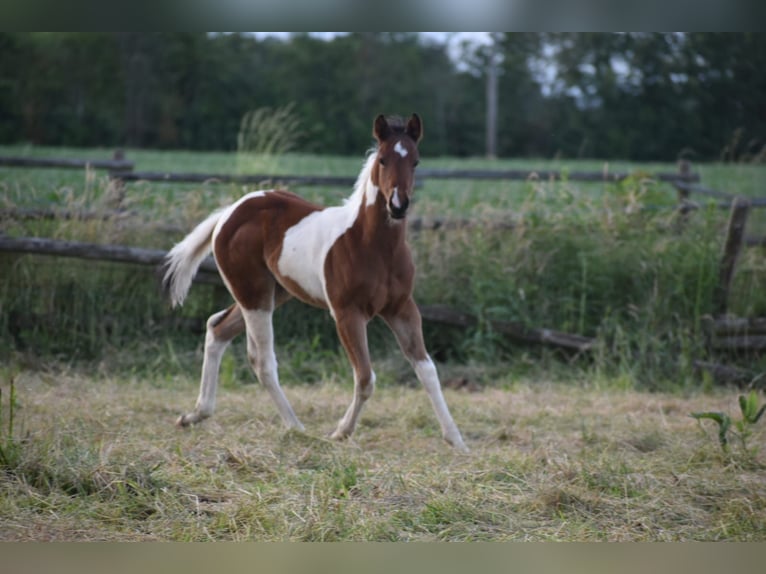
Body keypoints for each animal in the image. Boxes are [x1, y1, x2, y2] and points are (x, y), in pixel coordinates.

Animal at [161, 113, 468, 452]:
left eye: (416, 161)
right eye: (383, 159)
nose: (398, 206)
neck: (372, 245)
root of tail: (230, 211)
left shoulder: (402, 309)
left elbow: (427, 370)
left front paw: (457, 440)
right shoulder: (347, 313)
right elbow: (365, 377)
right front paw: (340, 432)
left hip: (272, 292)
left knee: (218, 328)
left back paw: (195, 415)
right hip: (254, 295)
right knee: (262, 360)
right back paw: (296, 428)